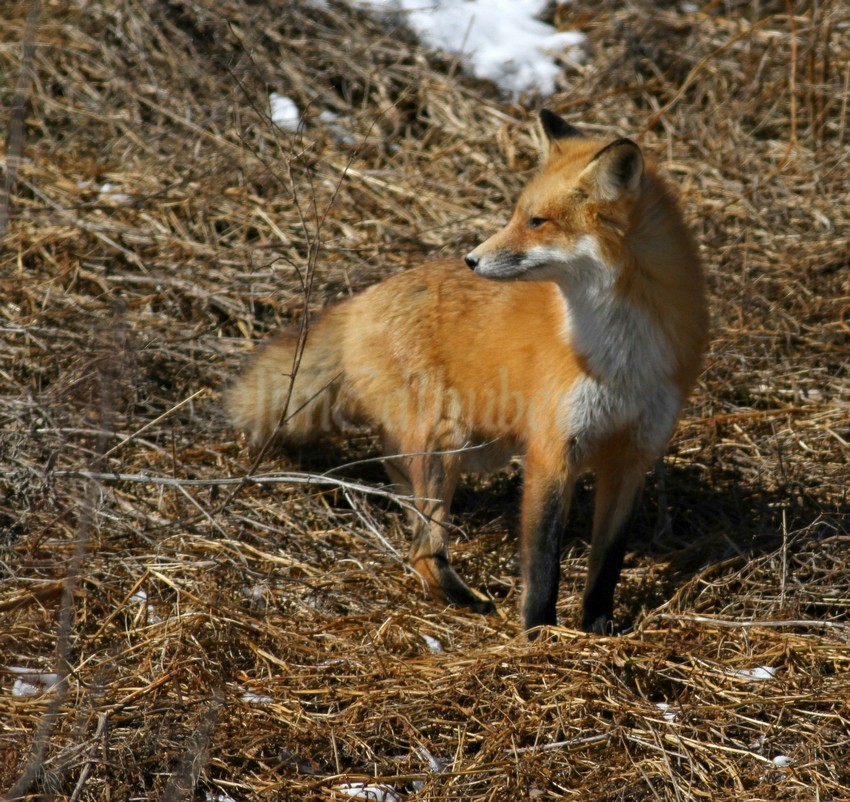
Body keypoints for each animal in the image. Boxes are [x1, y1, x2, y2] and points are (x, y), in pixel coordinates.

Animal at [227, 109, 708, 636]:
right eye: (517, 215)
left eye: (537, 222)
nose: (472, 259)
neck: (619, 354)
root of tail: (361, 301)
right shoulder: (552, 450)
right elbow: (543, 561)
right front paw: (537, 632)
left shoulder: (634, 454)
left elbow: (608, 561)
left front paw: (598, 625)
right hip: (448, 440)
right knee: (422, 549)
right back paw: (466, 600)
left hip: (471, 445)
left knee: (406, 500)